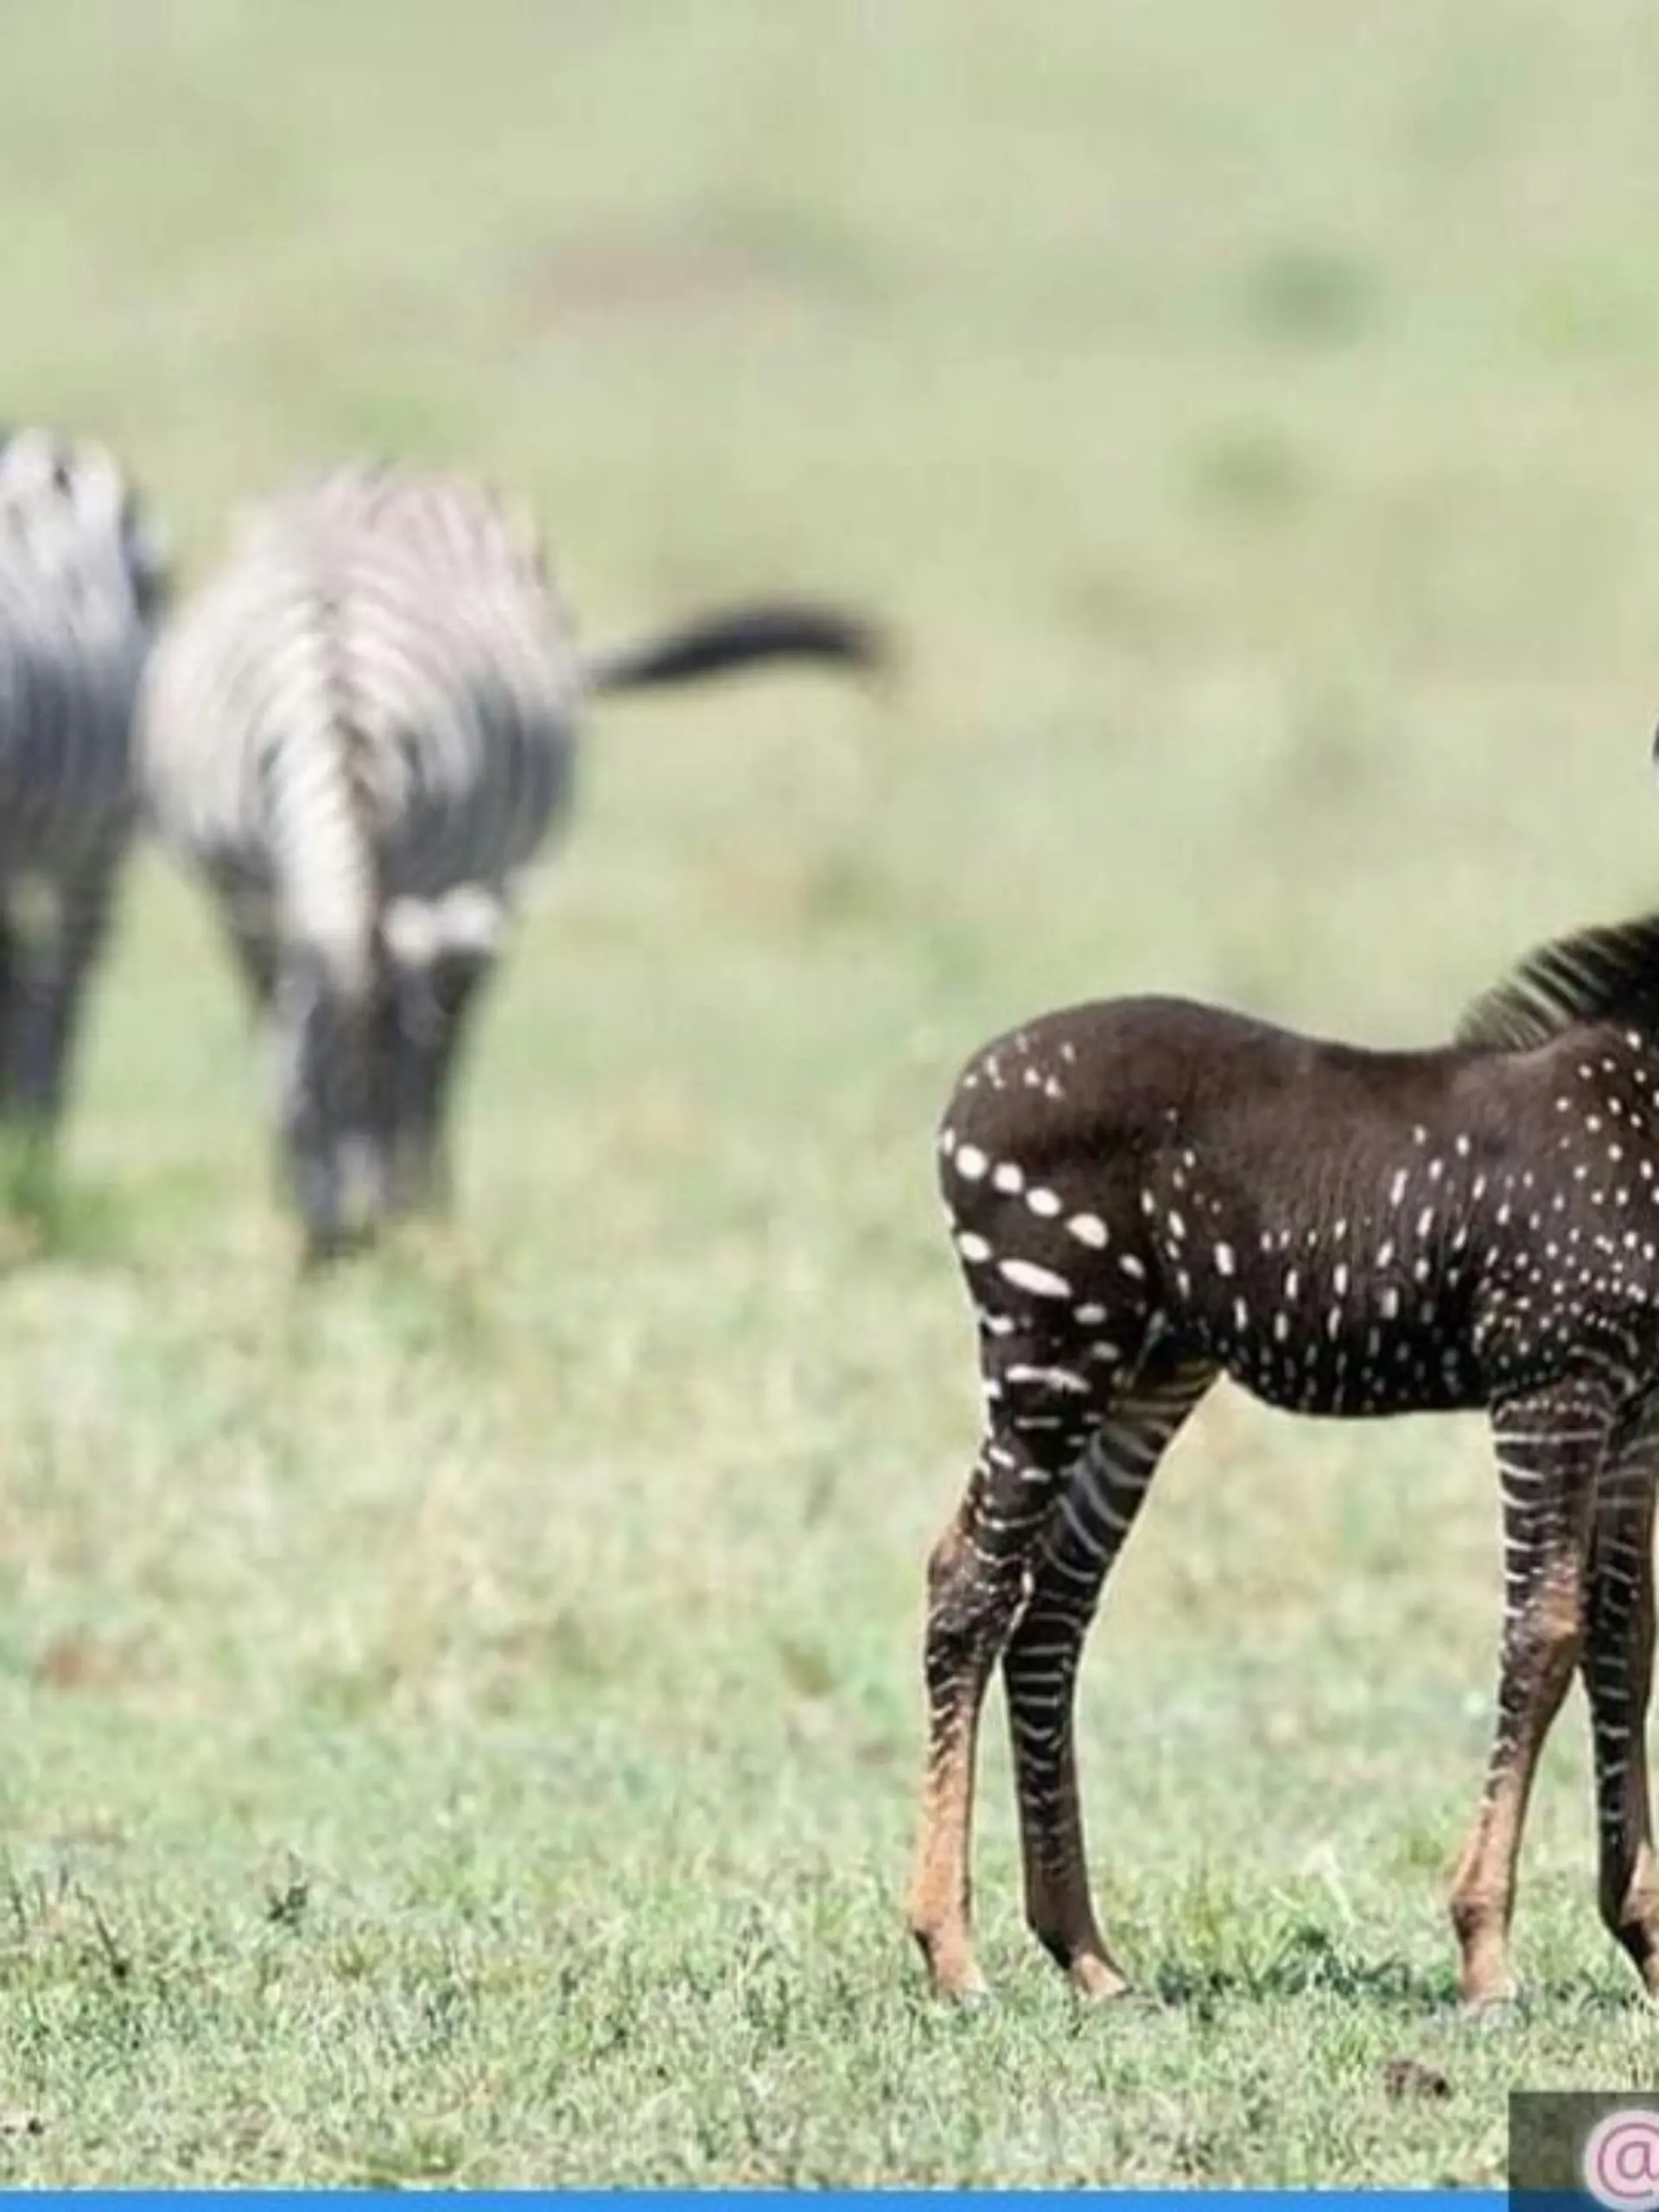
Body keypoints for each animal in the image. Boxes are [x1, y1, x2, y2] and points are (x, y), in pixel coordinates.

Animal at [137, 461, 884, 1259]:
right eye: (309, 1097)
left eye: (399, 1098)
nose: (361, 1239)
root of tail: (393, 470)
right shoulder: (243, 895)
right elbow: (267, 1029)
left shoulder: (440, 890)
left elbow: (436, 1058)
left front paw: (418, 1205)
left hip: (493, 885)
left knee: (462, 1029)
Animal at [909, 905, 1659, 2010]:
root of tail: (971, 1082)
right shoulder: (1551, 1379)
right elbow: (1546, 1632)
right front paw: (1485, 1952)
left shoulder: (1634, 1406)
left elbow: (1623, 1641)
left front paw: (1644, 1930)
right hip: (1050, 1347)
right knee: (970, 1587)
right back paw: (952, 1953)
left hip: (1146, 1374)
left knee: (1051, 1608)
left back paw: (1086, 1953)